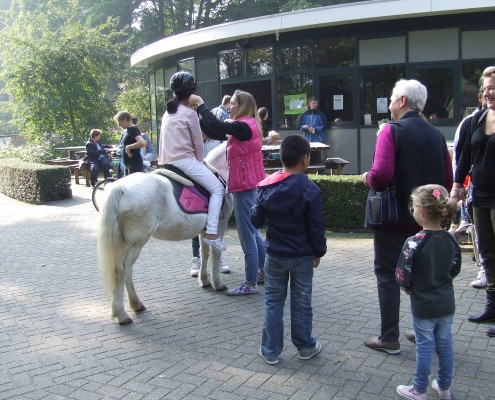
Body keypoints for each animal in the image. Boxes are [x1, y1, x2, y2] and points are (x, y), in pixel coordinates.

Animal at [99, 143, 234, 324]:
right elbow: (216, 252)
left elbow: (204, 252)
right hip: (136, 242)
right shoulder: (220, 225)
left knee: (128, 271)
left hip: (126, 243)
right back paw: (122, 314)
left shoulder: (204, 230)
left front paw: (204, 280)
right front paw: (218, 283)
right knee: (121, 271)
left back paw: (136, 304)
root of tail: (120, 188)